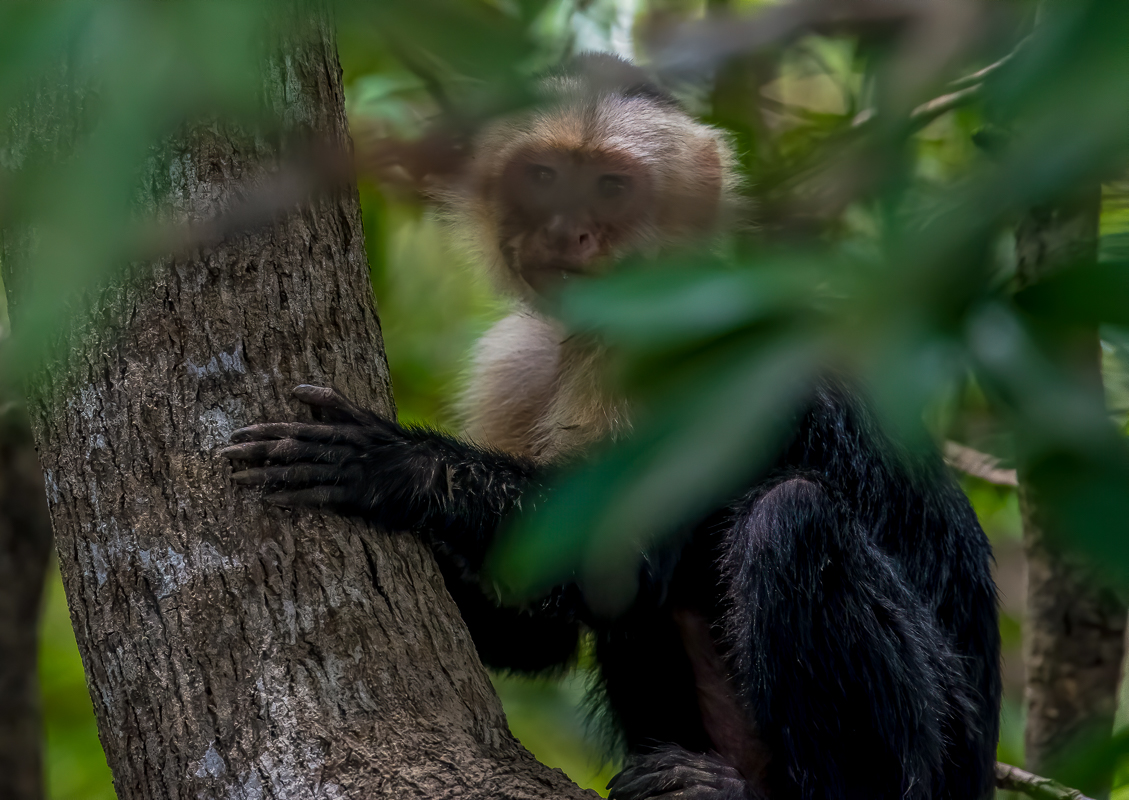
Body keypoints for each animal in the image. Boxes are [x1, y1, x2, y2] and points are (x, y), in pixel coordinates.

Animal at [224, 53, 1002, 798]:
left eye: (610, 188)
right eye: (542, 177)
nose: (566, 231)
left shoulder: (678, 342)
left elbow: (622, 552)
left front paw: (390, 465)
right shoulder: (515, 366)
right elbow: (541, 623)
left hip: (940, 761)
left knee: (791, 517)